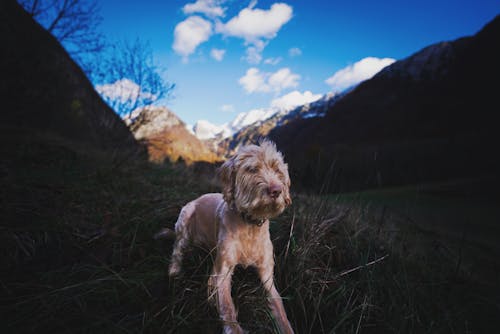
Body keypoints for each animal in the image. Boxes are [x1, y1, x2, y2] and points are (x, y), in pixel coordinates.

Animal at [162, 140, 292, 334]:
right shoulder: (222, 270)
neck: (250, 225)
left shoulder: (267, 275)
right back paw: (174, 272)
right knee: (177, 250)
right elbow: (227, 308)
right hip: (185, 217)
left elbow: (279, 308)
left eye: (277, 169)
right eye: (252, 169)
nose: (276, 190)